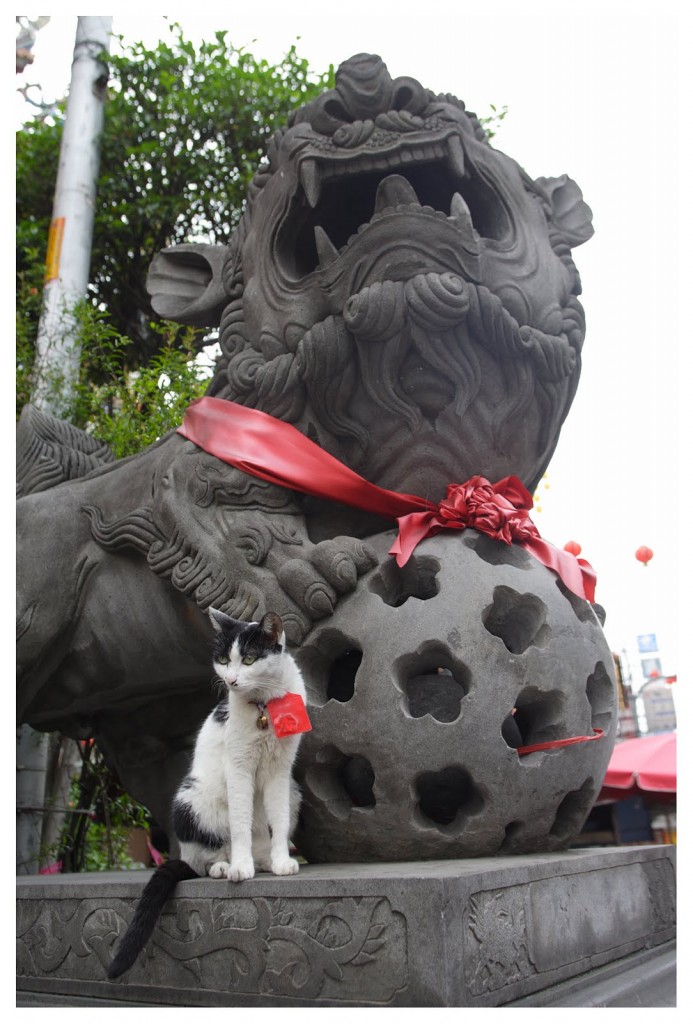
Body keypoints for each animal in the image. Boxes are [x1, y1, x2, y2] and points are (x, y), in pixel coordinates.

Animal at [107, 610, 309, 978]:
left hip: (294, 791)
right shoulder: (239, 768)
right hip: (190, 800)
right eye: (223, 660)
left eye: (248, 659)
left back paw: (262, 862)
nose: (230, 681)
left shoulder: (280, 770)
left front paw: (281, 861)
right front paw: (240, 869)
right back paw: (226, 867)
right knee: (206, 857)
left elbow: (278, 820)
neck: (263, 705)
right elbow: (240, 823)